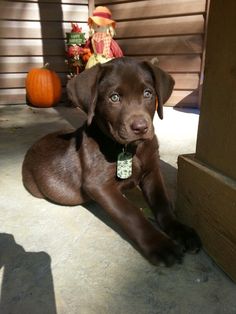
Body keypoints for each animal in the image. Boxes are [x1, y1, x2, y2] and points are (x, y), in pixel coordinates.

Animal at [22, 57, 201, 266]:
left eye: (148, 93)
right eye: (114, 98)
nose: (141, 127)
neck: (130, 149)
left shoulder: (152, 171)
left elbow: (162, 203)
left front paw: (180, 230)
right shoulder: (99, 185)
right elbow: (131, 214)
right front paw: (159, 244)